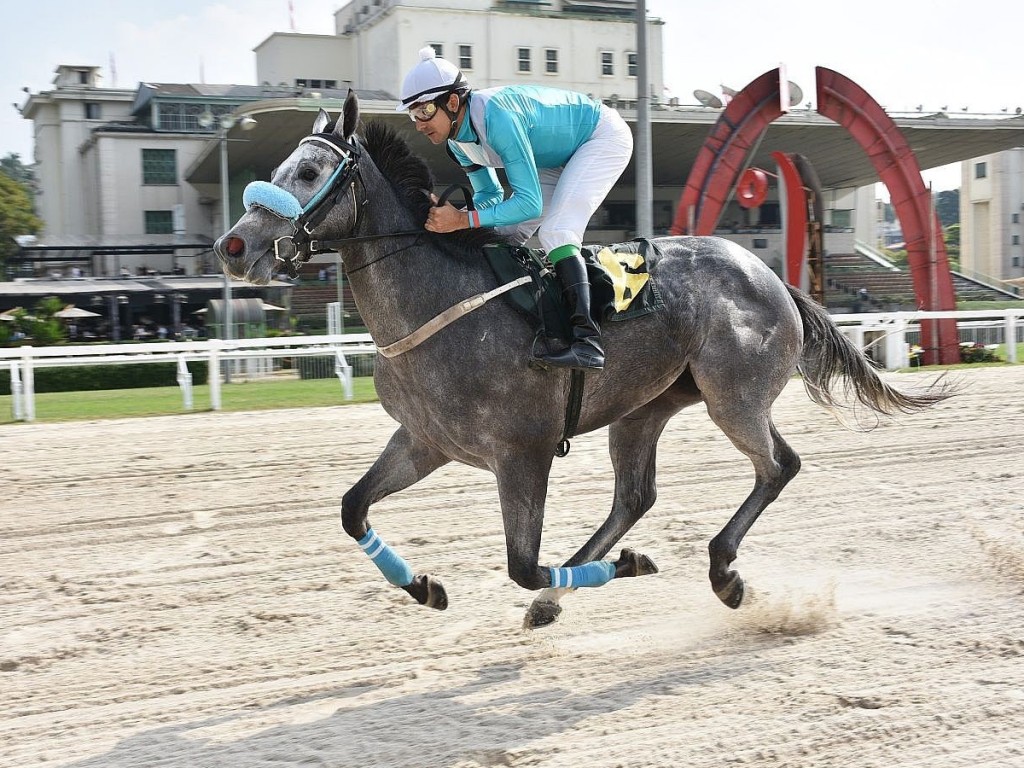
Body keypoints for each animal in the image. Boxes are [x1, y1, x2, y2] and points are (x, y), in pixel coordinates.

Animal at [214, 93, 950, 626]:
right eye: (277, 169)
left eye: (309, 172)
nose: (232, 246)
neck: (438, 304)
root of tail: (772, 276)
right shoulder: (426, 440)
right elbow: (352, 509)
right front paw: (426, 586)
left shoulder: (524, 452)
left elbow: (521, 564)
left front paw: (629, 568)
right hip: (645, 407)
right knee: (635, 495)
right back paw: (562, 600)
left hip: (733, 396)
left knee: (778, 466)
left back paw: (722, 572)